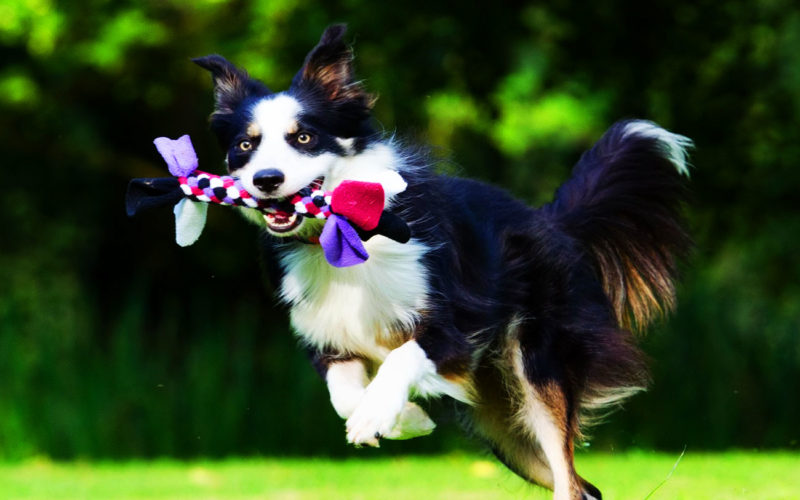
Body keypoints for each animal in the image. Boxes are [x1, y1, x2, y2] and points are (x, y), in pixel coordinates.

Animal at [192, 23, 688, 500]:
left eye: (303, 137)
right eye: (245, 146)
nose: (266, 180)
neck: (343, 236)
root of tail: (549, 220)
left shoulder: (458, 323)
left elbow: (403, 356)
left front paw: (379, 414)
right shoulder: (329, 336)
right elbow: (344, 396)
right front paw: (404, 419)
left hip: (536, 367)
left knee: (570, 480)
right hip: (502, 423)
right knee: (586, 487)